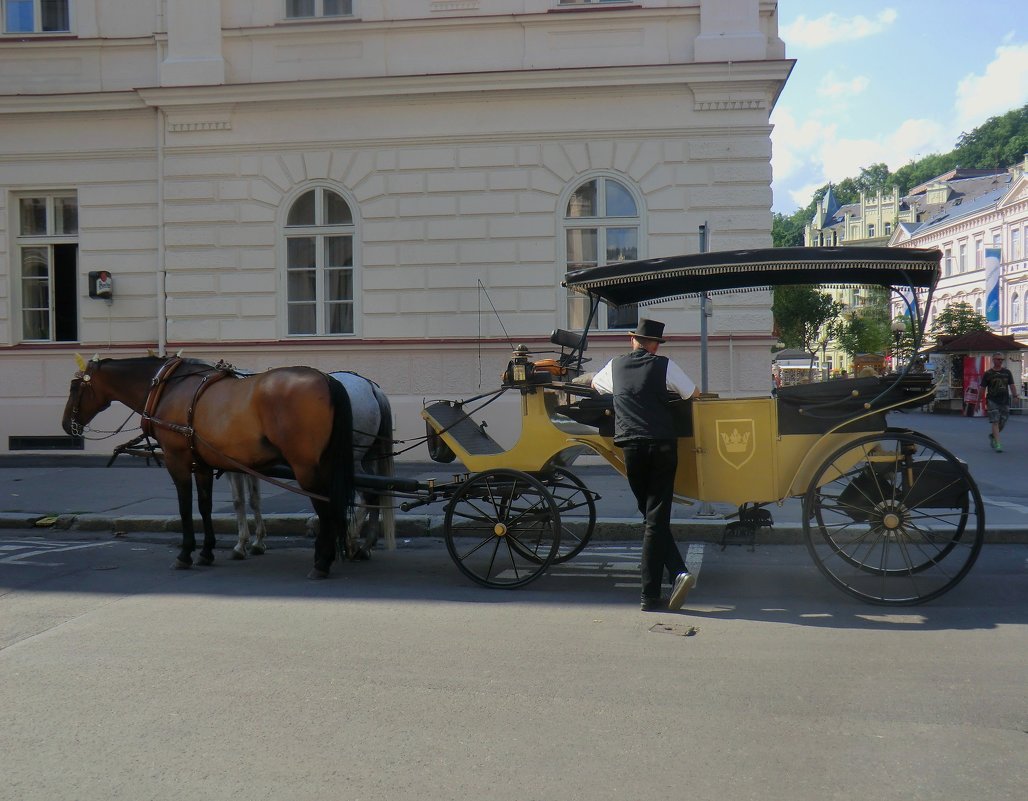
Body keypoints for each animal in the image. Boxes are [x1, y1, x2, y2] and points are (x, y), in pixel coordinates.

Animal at [64, 355, 355, 575]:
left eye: (74, 387)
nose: (66, 425)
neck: (167, 387)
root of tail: (327, 378)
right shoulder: (201, 463)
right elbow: (205, 506)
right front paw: (206, 551)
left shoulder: (177, 461)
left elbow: (185, 507)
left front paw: (185, 553)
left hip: (305, 467)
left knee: (324, 506)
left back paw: (322, 561)